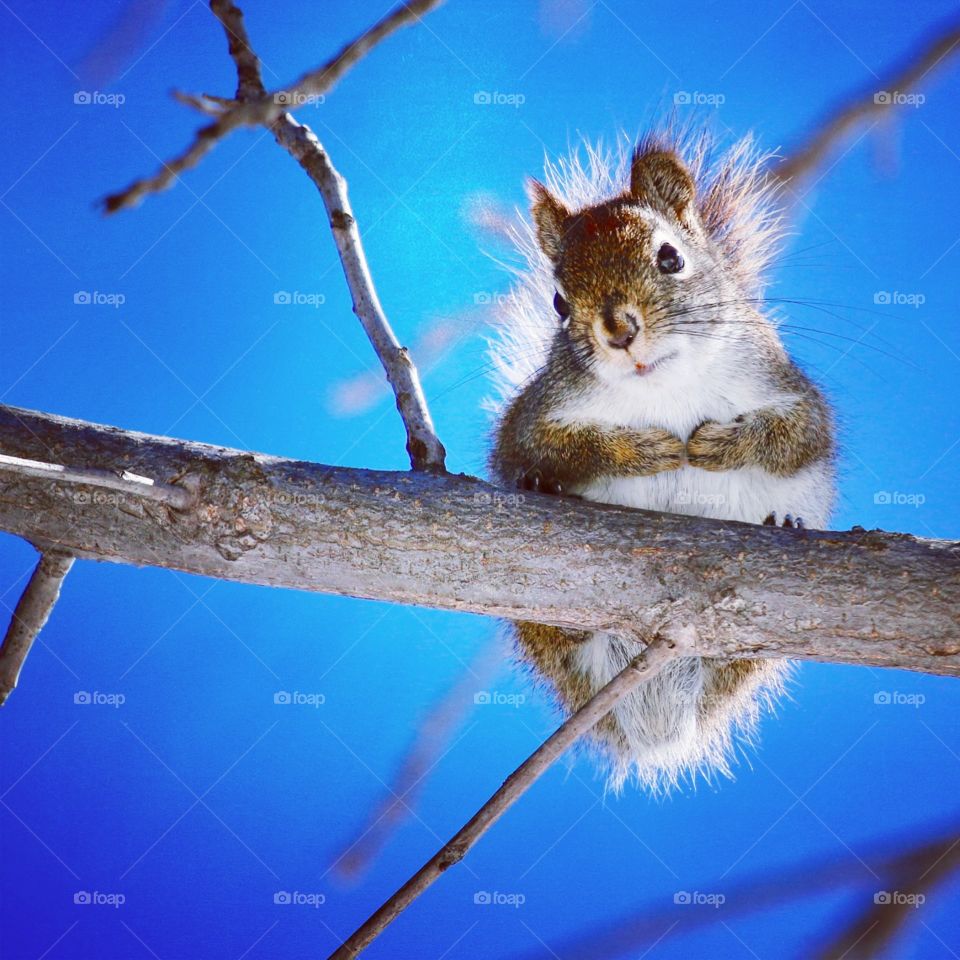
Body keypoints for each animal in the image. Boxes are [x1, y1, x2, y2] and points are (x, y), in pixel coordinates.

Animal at [486, 129, 836, 793]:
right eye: (558, 302)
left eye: (671, 258)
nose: (619, 331)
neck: (665, 388)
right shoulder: (532, 422)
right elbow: (550, 448)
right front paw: (648, 450)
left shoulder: (790, 393)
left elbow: (795, 437)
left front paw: (715, 446)